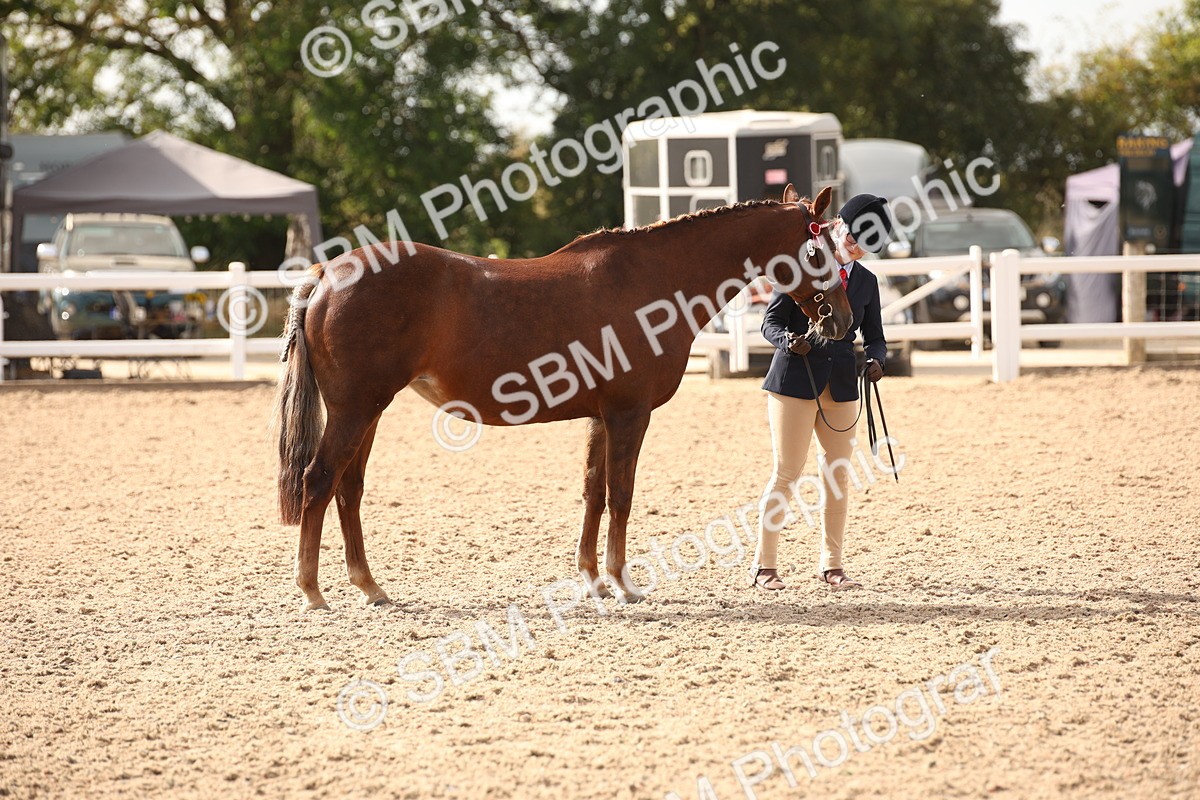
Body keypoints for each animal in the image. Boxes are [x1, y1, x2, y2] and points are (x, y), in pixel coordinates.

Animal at [274, 183, 850, 610]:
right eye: (821, 250)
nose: (841, 321)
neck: (655, 281)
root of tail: (327, 275)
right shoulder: (628, 415)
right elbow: (621, 494)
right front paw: (623, 583)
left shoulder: (600, 417)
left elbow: (593, 491)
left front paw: (593, 581)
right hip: (354, 410)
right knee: (318, 481)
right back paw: (313, 592)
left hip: (369, 411)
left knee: (349, 489)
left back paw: (370, 587)